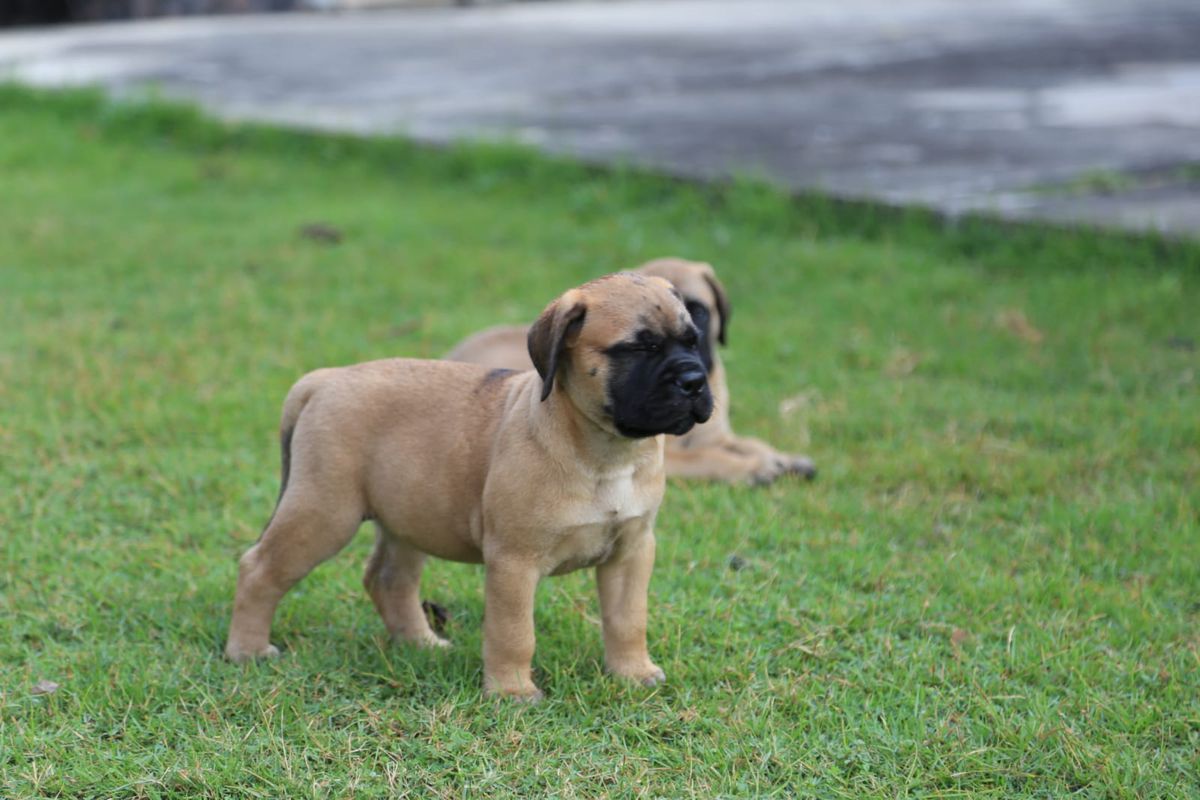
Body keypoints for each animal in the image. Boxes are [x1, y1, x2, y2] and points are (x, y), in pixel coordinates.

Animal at [225, 273, 710, 700]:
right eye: (638, 348)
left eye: (693, 341)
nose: (695, 381)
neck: (606, 453)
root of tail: (325, 379)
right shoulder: (514, 561)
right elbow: (514, 632)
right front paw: (512, 692)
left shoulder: (632, 551)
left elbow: (628, 620)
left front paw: (632, 673)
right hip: (324, 513)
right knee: (259, 568)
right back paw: (247, 650)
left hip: (406, 517)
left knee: (388, 580)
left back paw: (420, 644)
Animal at [446, 261, 820, 489]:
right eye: (644, 348)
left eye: (698, 314)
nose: (692, 379)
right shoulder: (672, 455)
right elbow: (708, 457)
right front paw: (752, 468)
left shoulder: (712, 433)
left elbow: (747, 442)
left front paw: (782, 459)